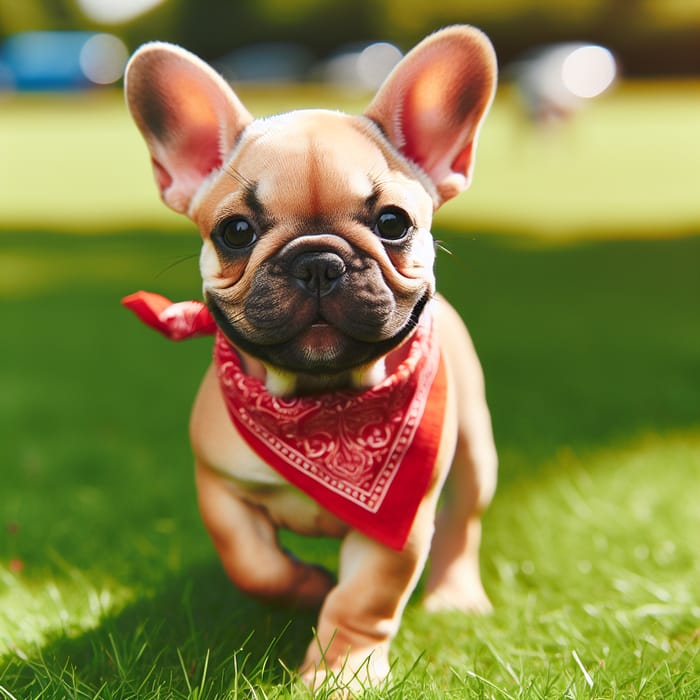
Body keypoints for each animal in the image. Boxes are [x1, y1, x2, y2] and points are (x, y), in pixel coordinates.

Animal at [124, 26, 498, 688]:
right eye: (236, 232)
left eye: (393, 222)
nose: (319, 260)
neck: (320, 404)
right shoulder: (219, 489)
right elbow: (252, 563)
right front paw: (304, 585)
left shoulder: (398, 526)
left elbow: (363, 600)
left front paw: (341, 673)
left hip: (477, 451)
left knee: (464, 522)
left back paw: (456, 596)